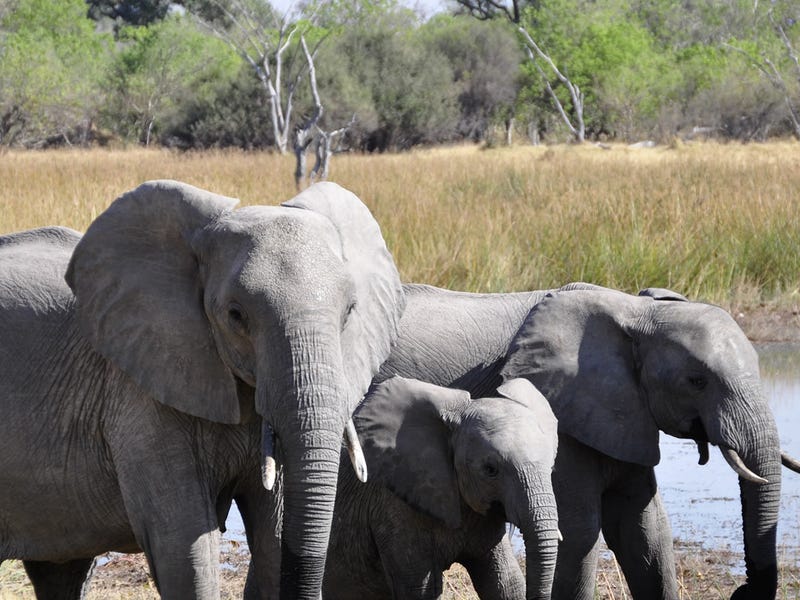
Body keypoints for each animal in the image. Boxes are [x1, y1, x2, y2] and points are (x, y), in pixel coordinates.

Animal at [370, 284, 800, 600]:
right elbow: (579, 531)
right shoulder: (562, 416)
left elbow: (645, 529)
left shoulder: (625, 415)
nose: (742, 593)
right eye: (697, 381)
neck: (636, 313)